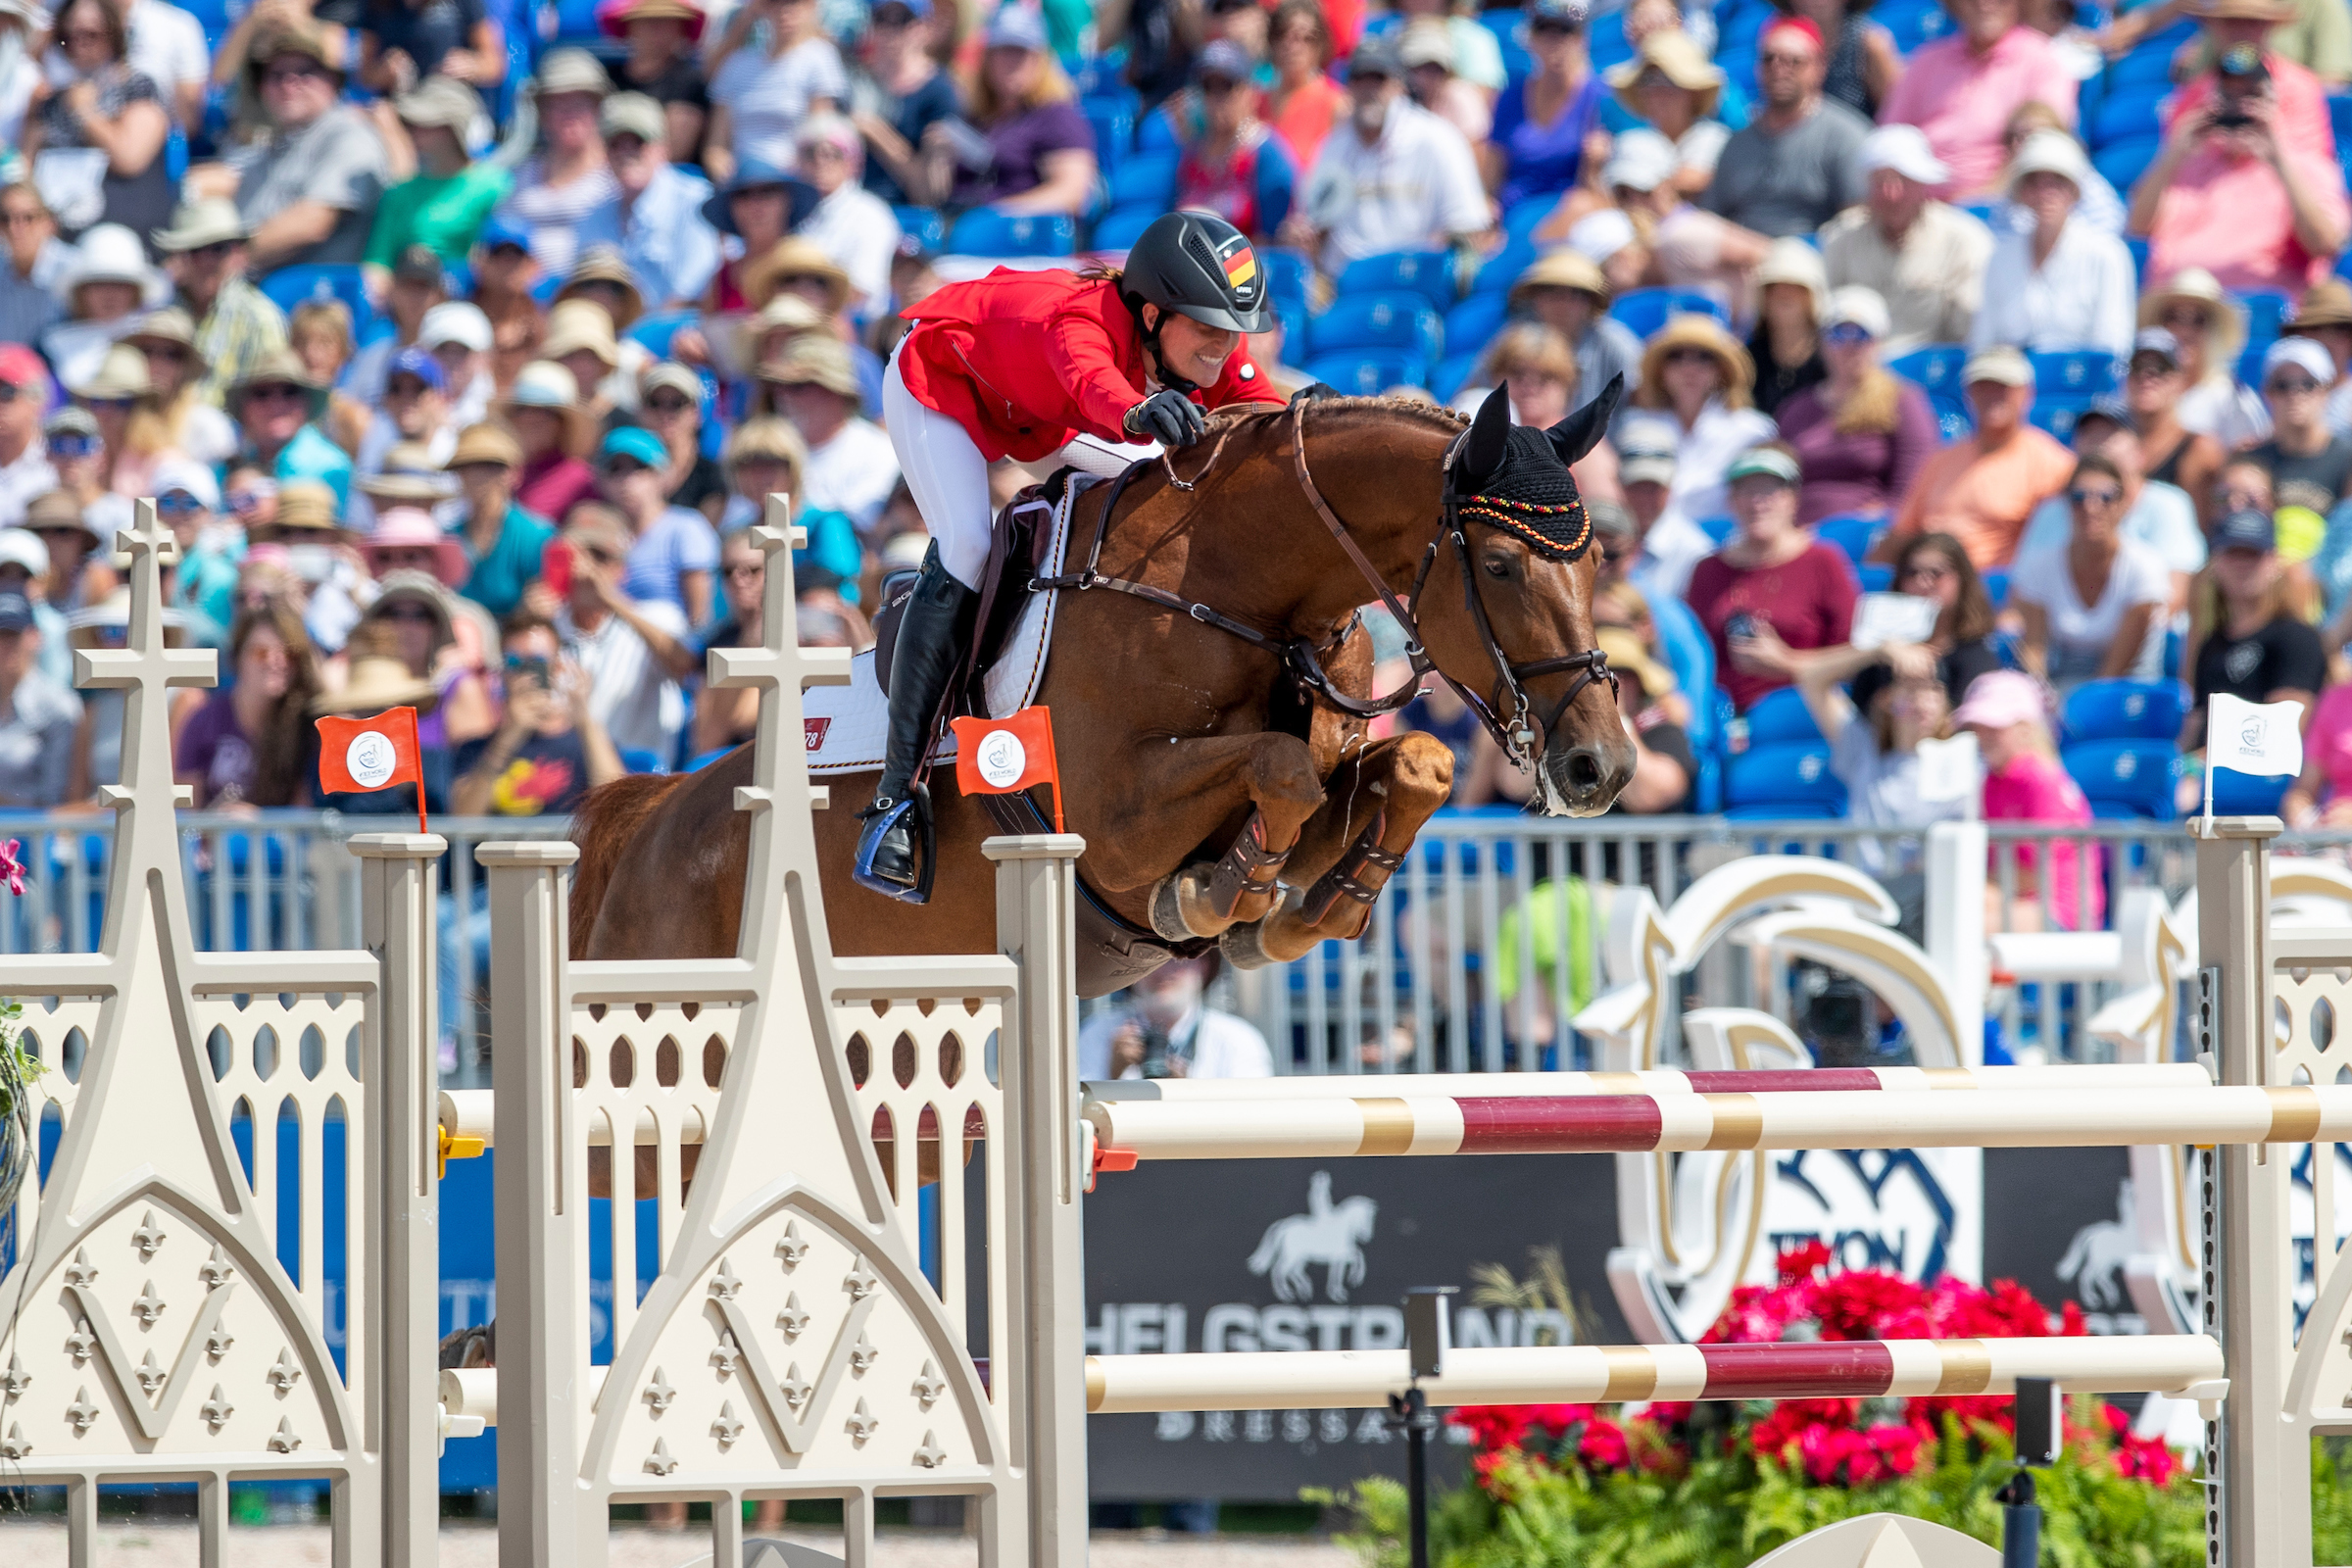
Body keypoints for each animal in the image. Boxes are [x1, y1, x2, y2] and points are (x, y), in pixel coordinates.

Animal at [568, 385, 1637, 987]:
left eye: (1598, 562)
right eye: (1498, 565)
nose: (1604, 768)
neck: (1238, 590)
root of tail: (654, 818)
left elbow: (1412, 765)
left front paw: (1298, 916)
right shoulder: (1114, 825)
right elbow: (1279, 766)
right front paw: (1219, 895)